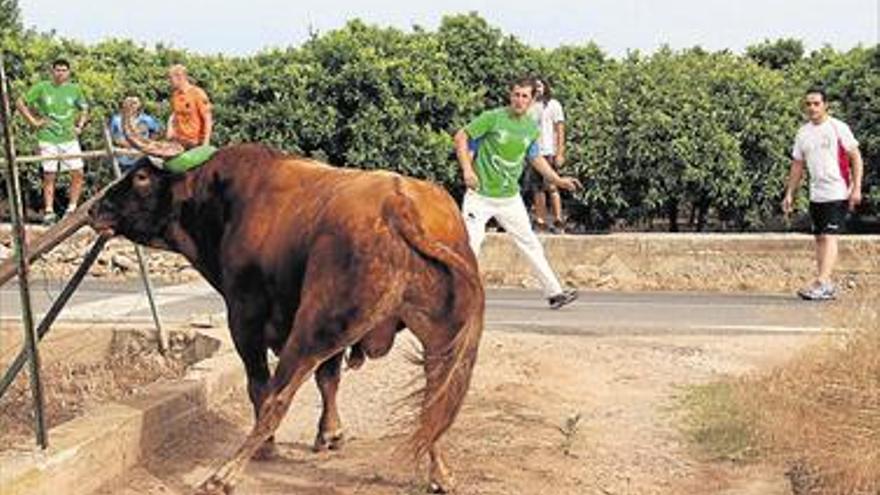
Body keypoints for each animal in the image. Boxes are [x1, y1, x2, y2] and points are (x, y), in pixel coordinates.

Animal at [87, 142, 484, 492]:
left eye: (140, 177)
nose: (94, 209)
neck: (223, 201)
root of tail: (400, 201)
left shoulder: (245, 316)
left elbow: (259, 385)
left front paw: (274, 445)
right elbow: (329, 379)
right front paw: (330, 434)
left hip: (315, 326)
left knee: (278, 398)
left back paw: (225, 475)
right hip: (439, 340)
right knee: (435, 405)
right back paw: (441, 474)